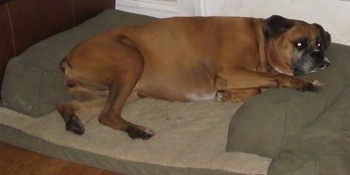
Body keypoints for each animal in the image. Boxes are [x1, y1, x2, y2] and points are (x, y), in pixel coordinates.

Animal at [55, 15, 330, 141]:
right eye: (300, 43)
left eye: (320, 43)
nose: (319, 57)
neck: (260, 41)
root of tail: (66, 58)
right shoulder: (228, 73)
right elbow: (272, 81)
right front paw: (305, 84)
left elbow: (257, 86)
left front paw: (228, 96)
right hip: (131, 63)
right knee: (106, 115)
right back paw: (138, 130)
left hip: (126, 90)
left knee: (66, 104)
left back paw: (73, 122)